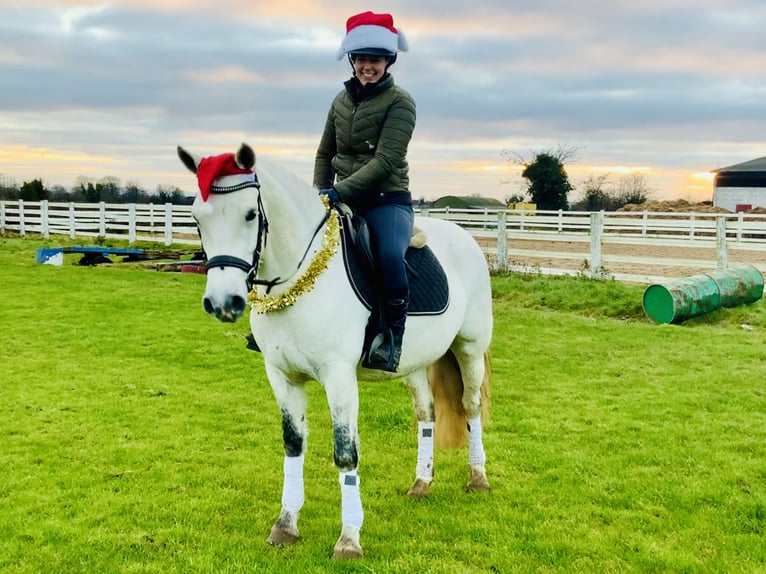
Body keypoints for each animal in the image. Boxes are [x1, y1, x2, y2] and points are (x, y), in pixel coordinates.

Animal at [178, 144, 496, 564]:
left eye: (250, 214)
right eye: (197, 217)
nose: (221, 302)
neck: (297, 280)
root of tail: (466, 236)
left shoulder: (339, 377)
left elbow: (346, 453)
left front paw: (348, 540)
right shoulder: (281, 376)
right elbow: (293, 444)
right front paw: (285, 526)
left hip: (470, 348)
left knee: (471, 406)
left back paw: (478, 478)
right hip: (414, 362)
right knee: (426, 414)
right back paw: (421, 482)